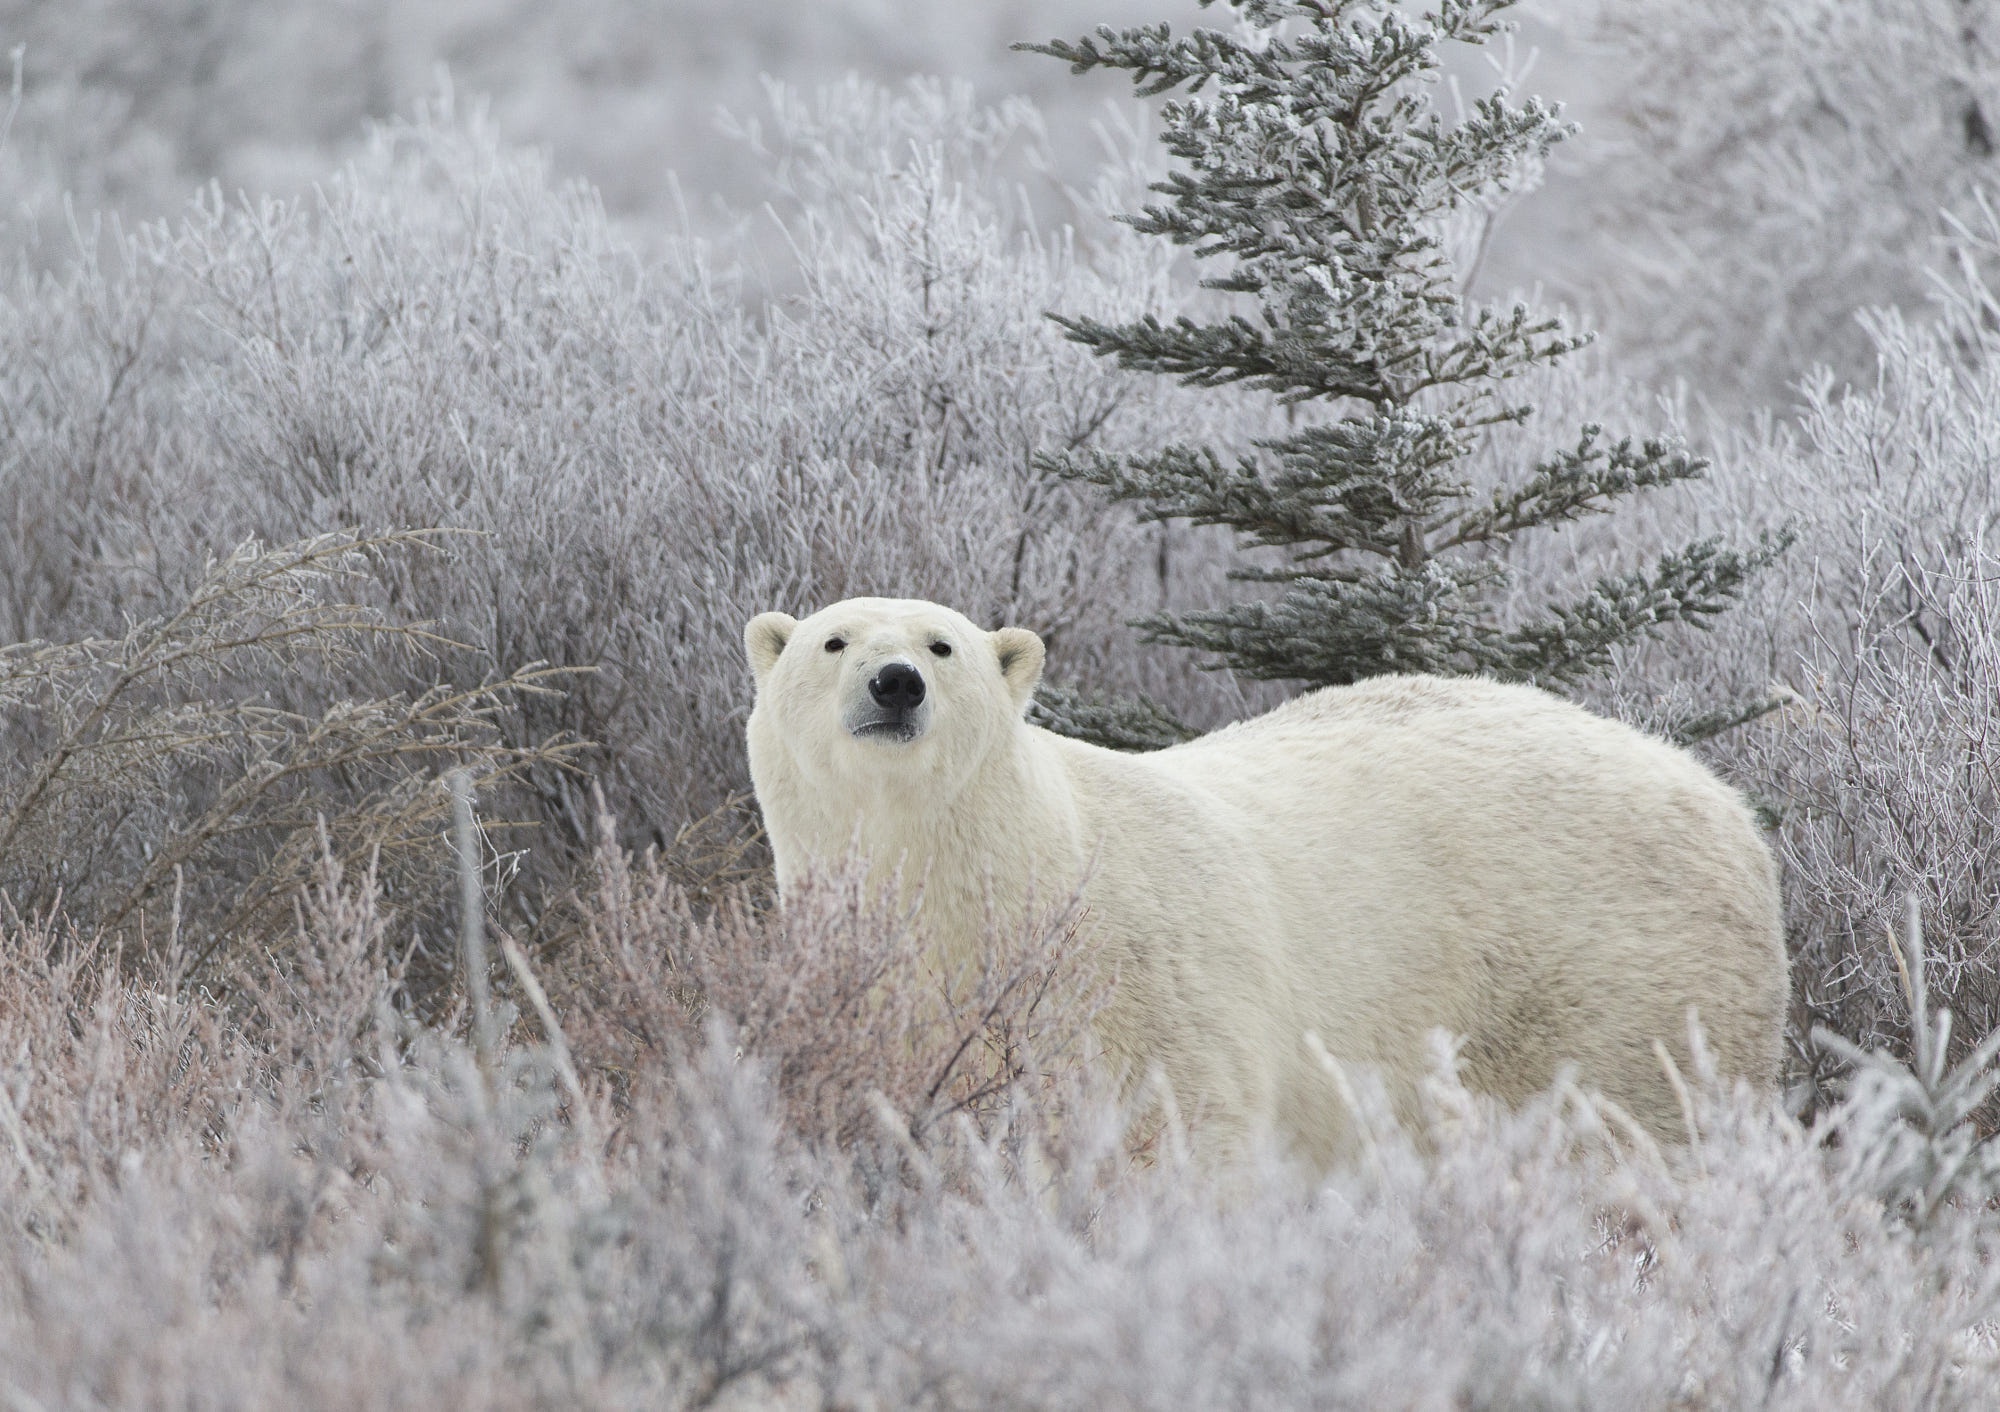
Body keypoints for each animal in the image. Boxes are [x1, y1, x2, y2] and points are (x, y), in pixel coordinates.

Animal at [743, 596, 1789, 1165]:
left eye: (943, 644)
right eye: (834, 641)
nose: (894, 683)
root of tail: (1729, 806)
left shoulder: (1145, 983)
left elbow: (1167, 1132)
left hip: (1616, 980)